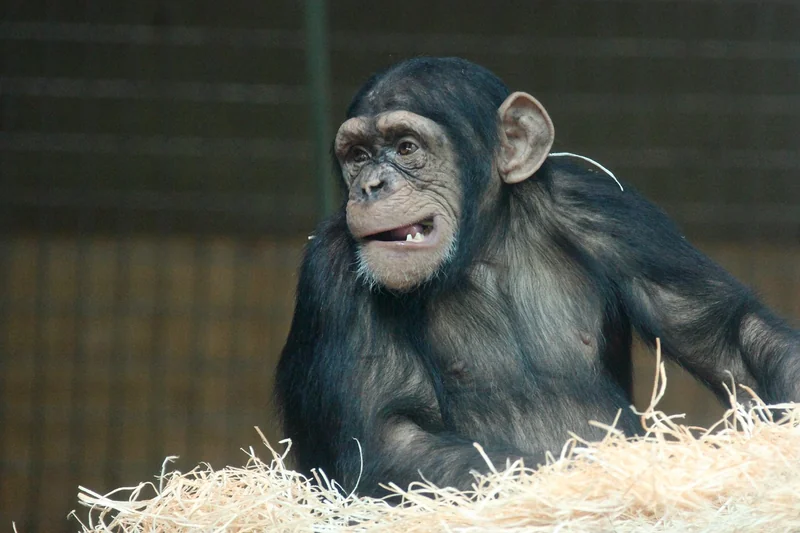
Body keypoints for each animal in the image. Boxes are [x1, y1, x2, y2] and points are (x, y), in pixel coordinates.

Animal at [274, 57, 792, 494]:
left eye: (406, 147)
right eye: (358, 155)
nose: (371, 186)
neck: (480, 249)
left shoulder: (611, 211)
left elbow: (729, 339)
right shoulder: (332, 273)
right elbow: (385, 442)